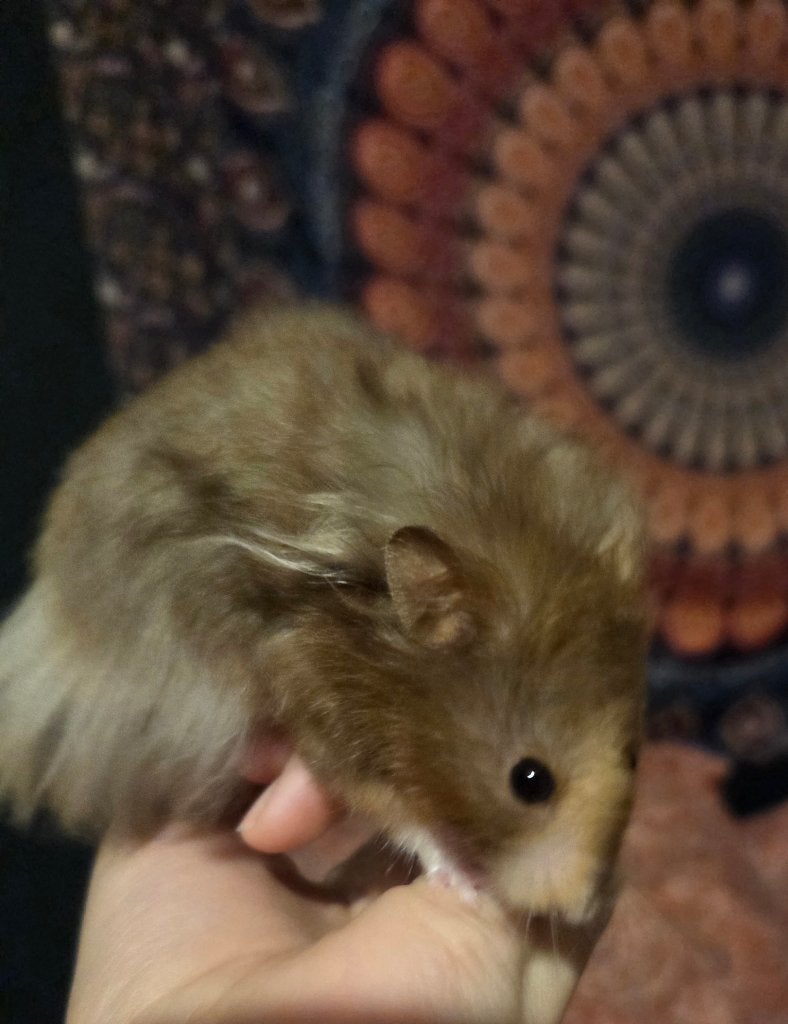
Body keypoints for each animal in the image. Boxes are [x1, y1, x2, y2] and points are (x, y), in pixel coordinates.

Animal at [0, 303, 647, 927]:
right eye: (529, 781)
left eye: (633, 755)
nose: (585, 910)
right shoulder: (323, 708)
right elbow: (400, 817)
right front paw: (467, 884)